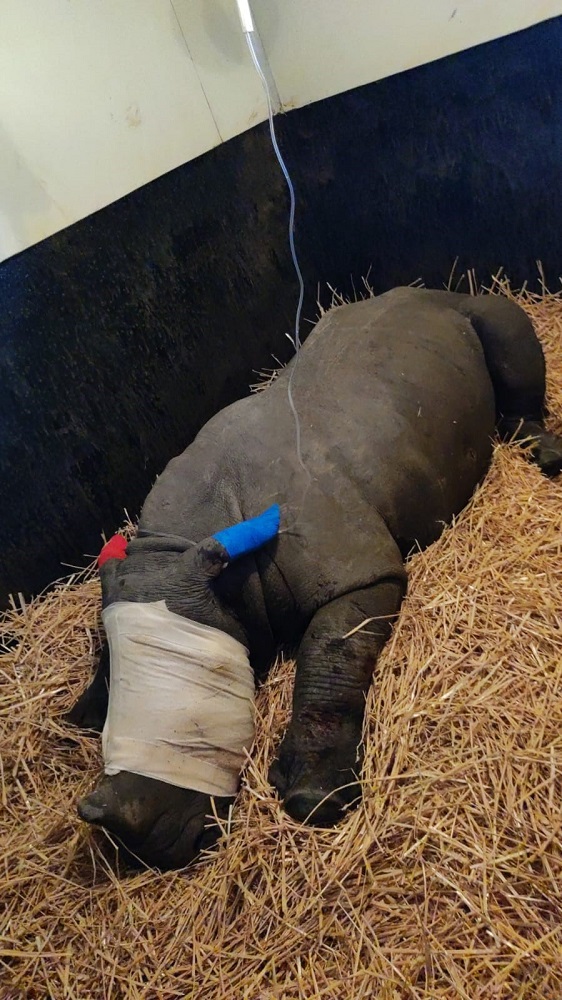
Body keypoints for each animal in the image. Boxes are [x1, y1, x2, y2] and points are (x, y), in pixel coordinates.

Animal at [66, 287, 562, 870]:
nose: (143, 855)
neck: (195, 543)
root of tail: (427, 291)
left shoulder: (359, 574)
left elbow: (331, 652)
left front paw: (314, 799)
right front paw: (84, 710)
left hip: (477, 308)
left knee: (505, 334)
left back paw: (545, 452)